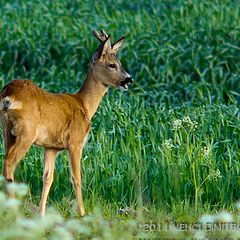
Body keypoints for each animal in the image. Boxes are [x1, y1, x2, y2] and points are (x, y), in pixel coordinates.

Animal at [0, 29, 133, 216]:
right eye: (112, 65)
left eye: (120, 63)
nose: (129, 79)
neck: (84, 105)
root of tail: (8, 94)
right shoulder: (75, 142)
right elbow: (76, 178)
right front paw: (82, 213)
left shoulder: (51, 147)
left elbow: (48, 177)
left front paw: (41, 213)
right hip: (26, 132)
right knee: (9, 164)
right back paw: (13, 210)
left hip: (7, 130)